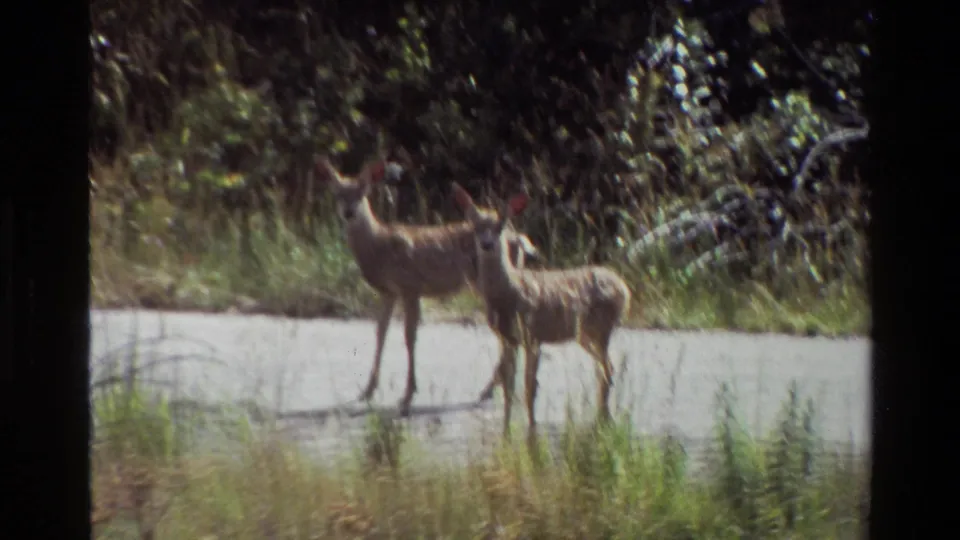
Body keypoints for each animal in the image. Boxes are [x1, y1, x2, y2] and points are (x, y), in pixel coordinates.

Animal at [316, 156, 542, 415]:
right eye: (337, 193)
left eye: (363, 192)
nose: (349, 212)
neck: (378, 245)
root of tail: (519, 239)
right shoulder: (388, 292)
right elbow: (380, 333)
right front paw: (368, 390)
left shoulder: (410, 286)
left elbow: (409, 336)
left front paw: (407, 395)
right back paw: (491, 390)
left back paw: (491, 391)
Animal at [451, 181, 632, 439]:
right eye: (475, 225)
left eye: (500, 225)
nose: (487, 244)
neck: (508, 291)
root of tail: (624, 289)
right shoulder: (507, 339)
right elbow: (509, 387)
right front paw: (507, 430)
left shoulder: (532, 335)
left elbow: (529, 387)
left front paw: (531, 429)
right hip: (585, 335)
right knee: (605, 368)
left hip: (602, 327)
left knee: (606, 369)